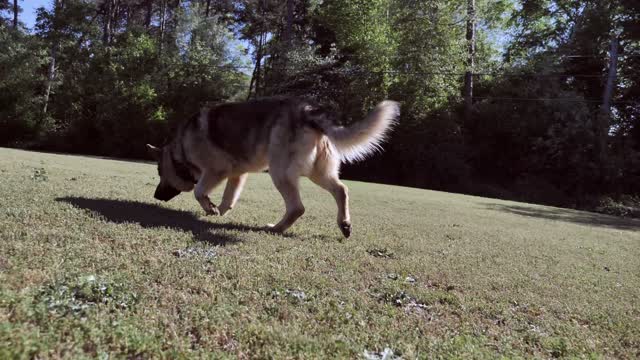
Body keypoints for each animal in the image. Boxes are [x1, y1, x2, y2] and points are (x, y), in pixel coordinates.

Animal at [148, 97, 400, 238]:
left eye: (159, 173)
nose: (155, 196)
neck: (180, 151)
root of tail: (307, 111)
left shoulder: (216, 171)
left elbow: (200, 191)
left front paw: (209, 208)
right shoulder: (237, 175)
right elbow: (228, 198)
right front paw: (217, 210)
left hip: (280, 172)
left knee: (297, 207)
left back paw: (274, 229)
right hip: (318, 173)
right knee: (342, 190)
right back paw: (344, 224)